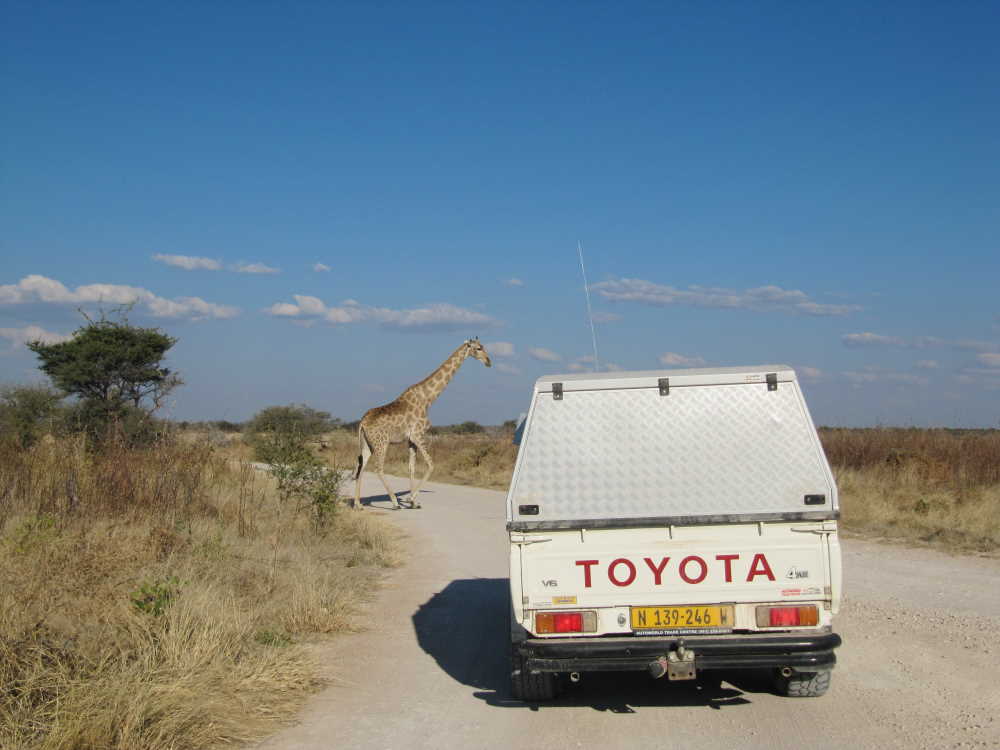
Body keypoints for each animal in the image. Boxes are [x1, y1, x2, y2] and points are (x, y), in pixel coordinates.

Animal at [352, 340, 492, 512]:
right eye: (478, 348)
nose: (488, 362)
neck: (428, 399)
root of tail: (362, 423)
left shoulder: (411, 439)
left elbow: (411, 468)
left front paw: (413, 502)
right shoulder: (418, 435)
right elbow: (431, 465)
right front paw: (410, 498)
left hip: (366, 444)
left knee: (362, 466)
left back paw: (358, 504)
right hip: (381, 443)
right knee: (378, 468)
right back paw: (394, 502)